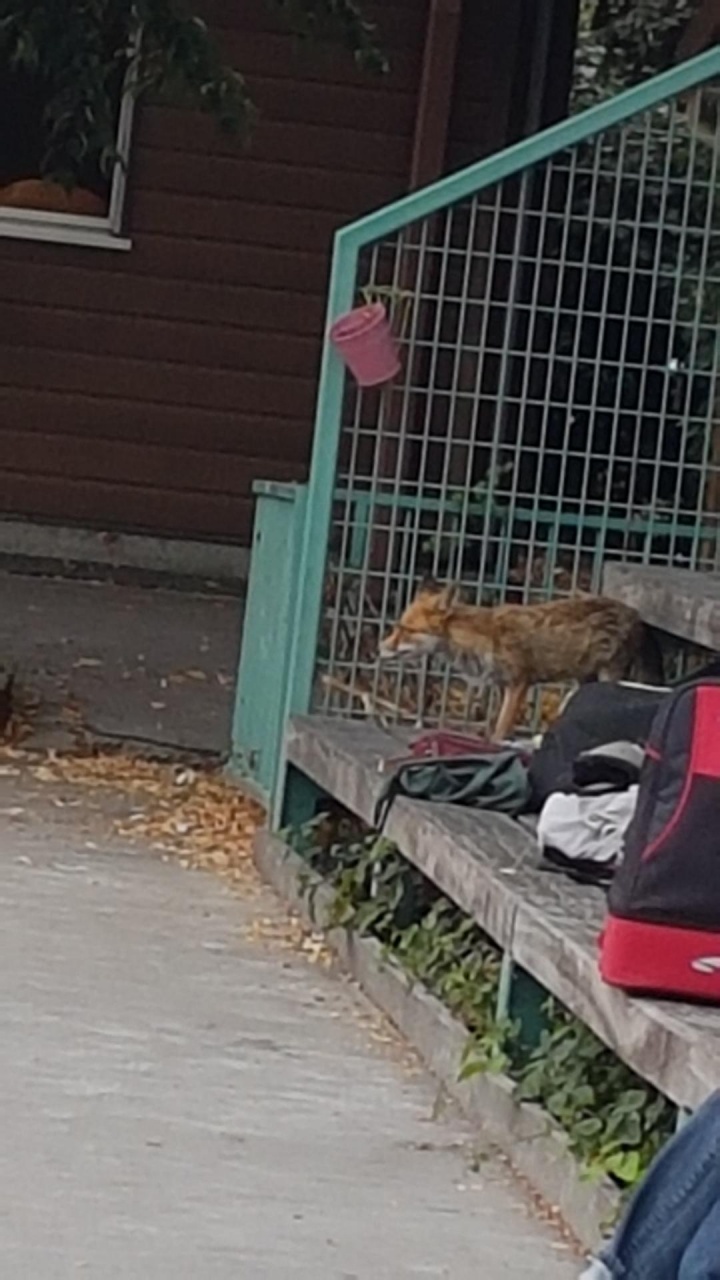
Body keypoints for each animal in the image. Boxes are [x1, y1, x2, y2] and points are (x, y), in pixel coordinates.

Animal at [378, 582, 664, 742]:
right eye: (396, 627)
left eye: (406, 630)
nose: (381, 648)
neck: (481, 638)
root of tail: (635, 613)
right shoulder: (501, 685)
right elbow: (495, 722)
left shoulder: (519, 683)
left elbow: (502, 726)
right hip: (583, 680)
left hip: (608, 675)